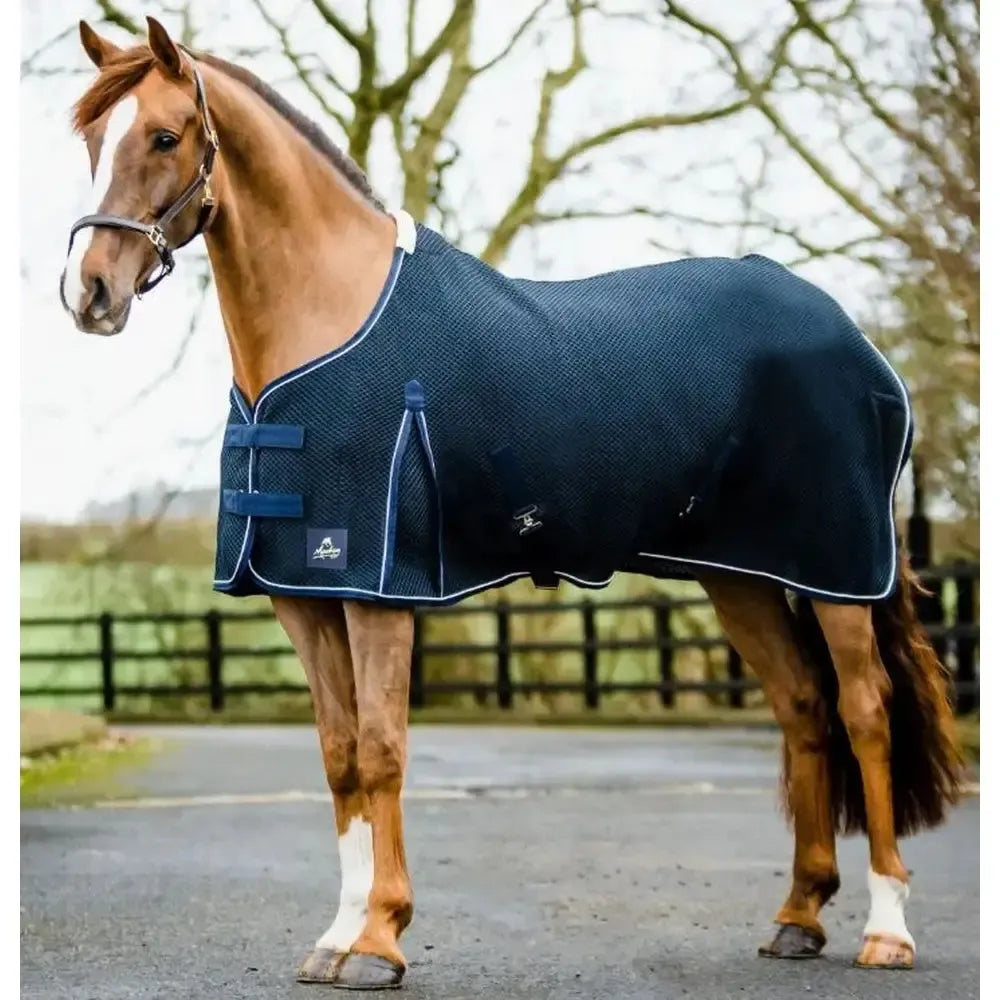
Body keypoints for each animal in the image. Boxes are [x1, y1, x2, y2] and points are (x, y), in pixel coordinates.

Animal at [61, 18, 964, 989]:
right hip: (743, 577)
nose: (89, 292)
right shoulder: (302, 592)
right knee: (801, 707)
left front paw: (381, 938)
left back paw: (887, 928)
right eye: (91, 140)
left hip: (841, 573)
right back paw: (798, 915)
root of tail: (853, 337)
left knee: (864, 712)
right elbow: (340, 758)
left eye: (164, 136)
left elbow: (383, 749)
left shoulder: (378, 591)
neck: (327, 321)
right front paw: (336, 938)